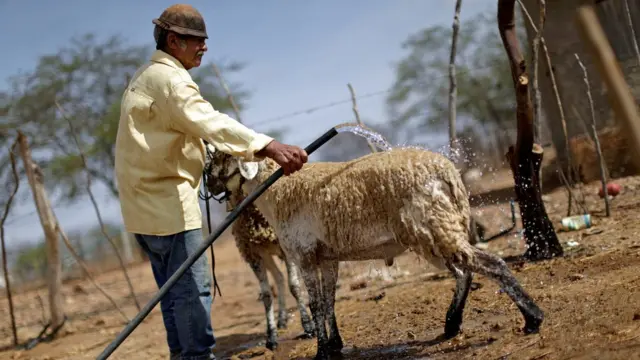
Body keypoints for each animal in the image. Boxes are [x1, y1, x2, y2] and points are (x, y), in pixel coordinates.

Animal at [208, 145, 544, 358]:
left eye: (220, 158)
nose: (208, 187)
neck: (275, 191)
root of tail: (448, 171)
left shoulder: (303, 255)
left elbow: (315, 303)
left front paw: (321, 351)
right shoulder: (327, 256)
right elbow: (328, 301)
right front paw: (335, 344)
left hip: (433, 224)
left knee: (490, 263)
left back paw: (533, 318)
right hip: (435, 229)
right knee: (464, 271)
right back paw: (451, 325)